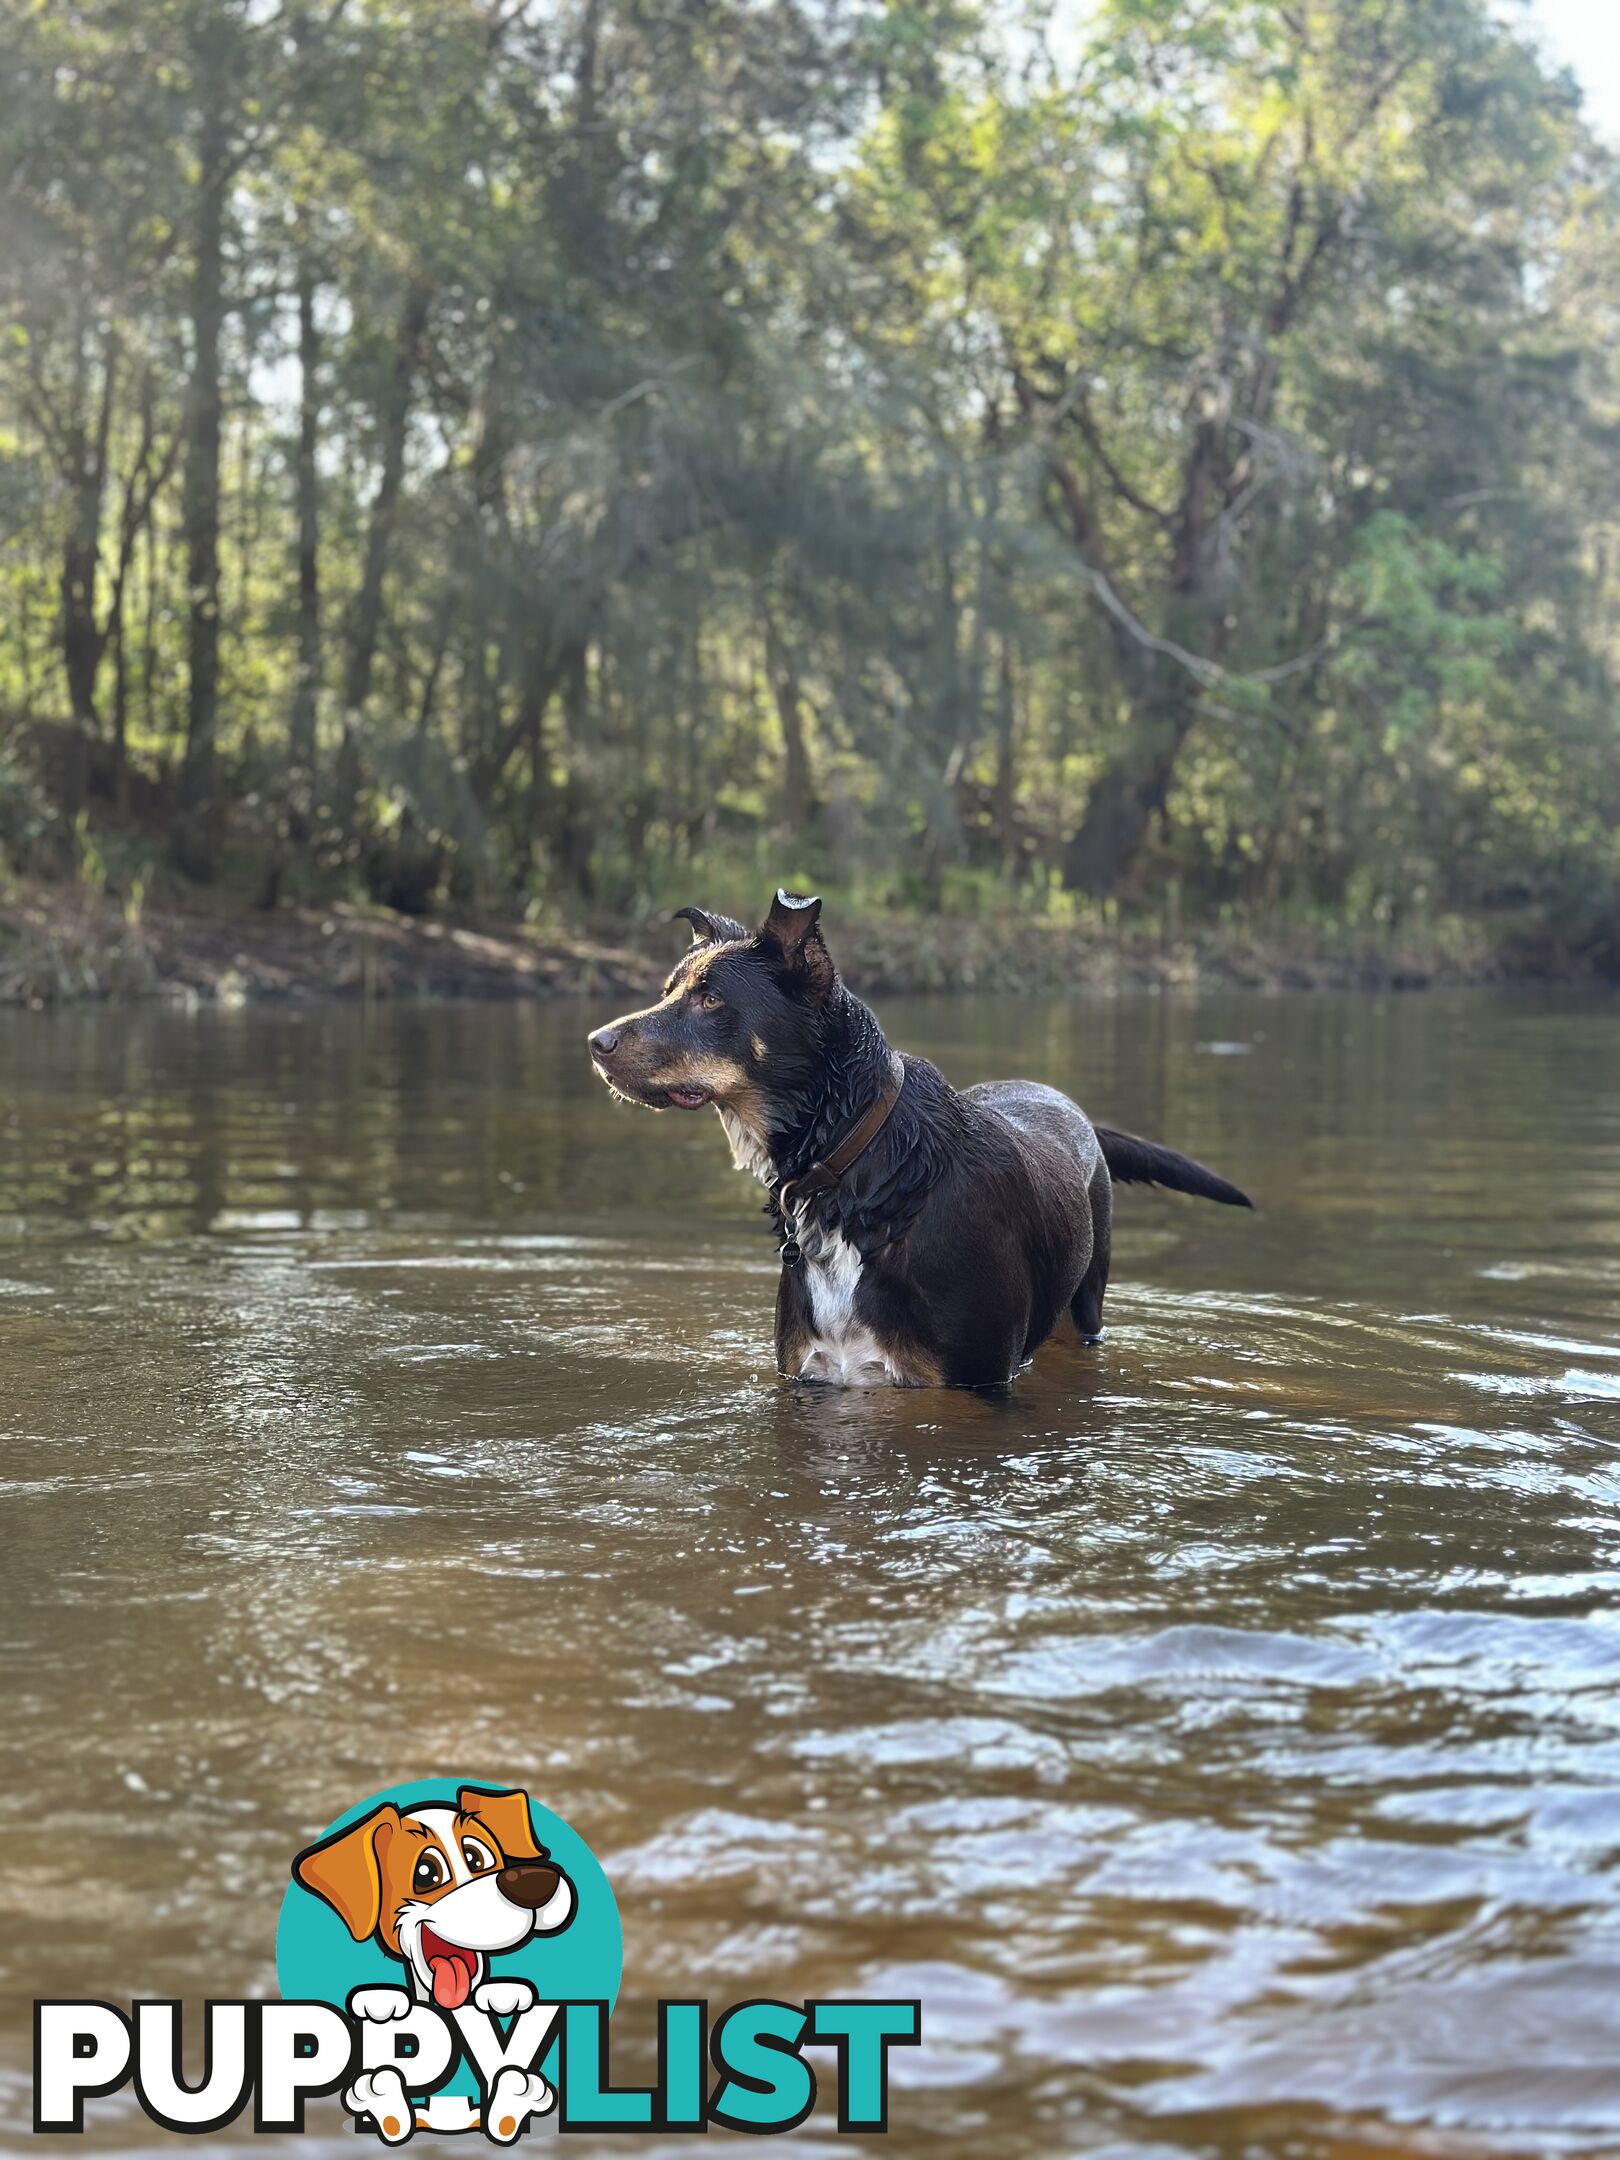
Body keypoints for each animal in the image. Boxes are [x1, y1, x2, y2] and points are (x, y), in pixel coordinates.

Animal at [587, 889, 1252, 1382]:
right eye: (669, 990)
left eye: (711, 999)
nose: (596, 1042)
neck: (861, 1174)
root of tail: (1068, 1104)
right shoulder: (812, 1374)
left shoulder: (973, 1382)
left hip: (1085, 1307)